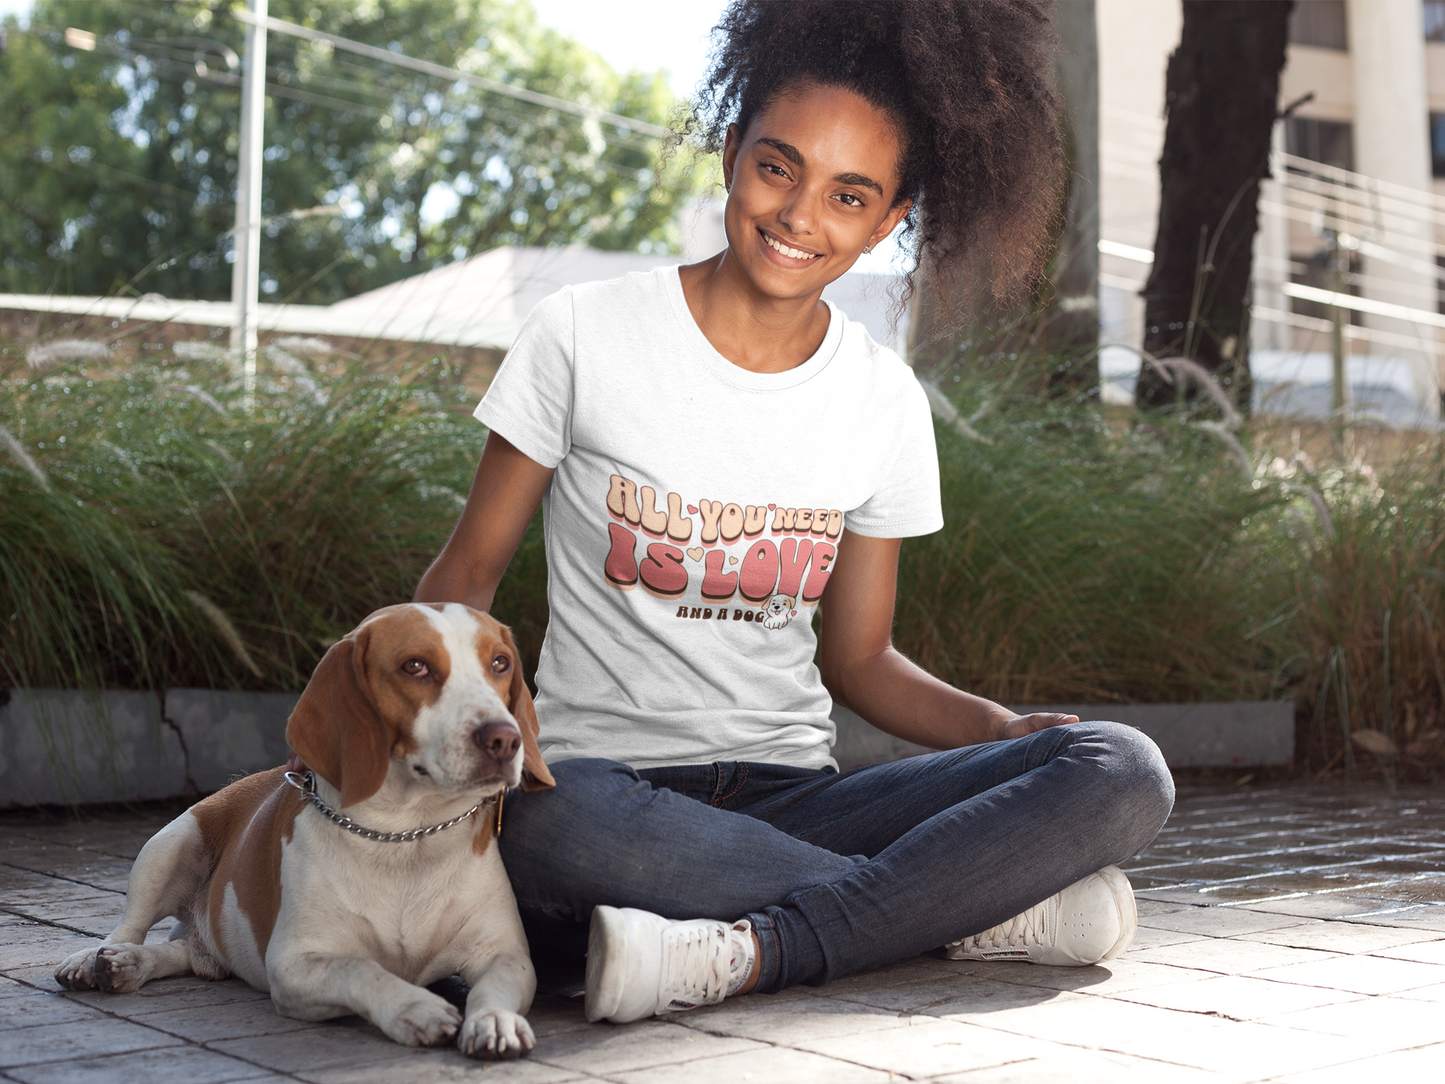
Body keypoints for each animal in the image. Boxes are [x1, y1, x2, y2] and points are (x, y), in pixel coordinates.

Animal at [54, 607, 551, 1063]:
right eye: (415, 666)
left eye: (500, 663)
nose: (504, 739)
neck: (406, 834)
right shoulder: (295, 965)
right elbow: (363, 969)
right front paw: (417, 1008)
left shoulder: (506, 955)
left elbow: (492, 989)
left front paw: (494, 1020)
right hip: (168, 846)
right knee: (128, 926)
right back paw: (101, 958)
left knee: (181, 951)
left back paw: (135, 964)